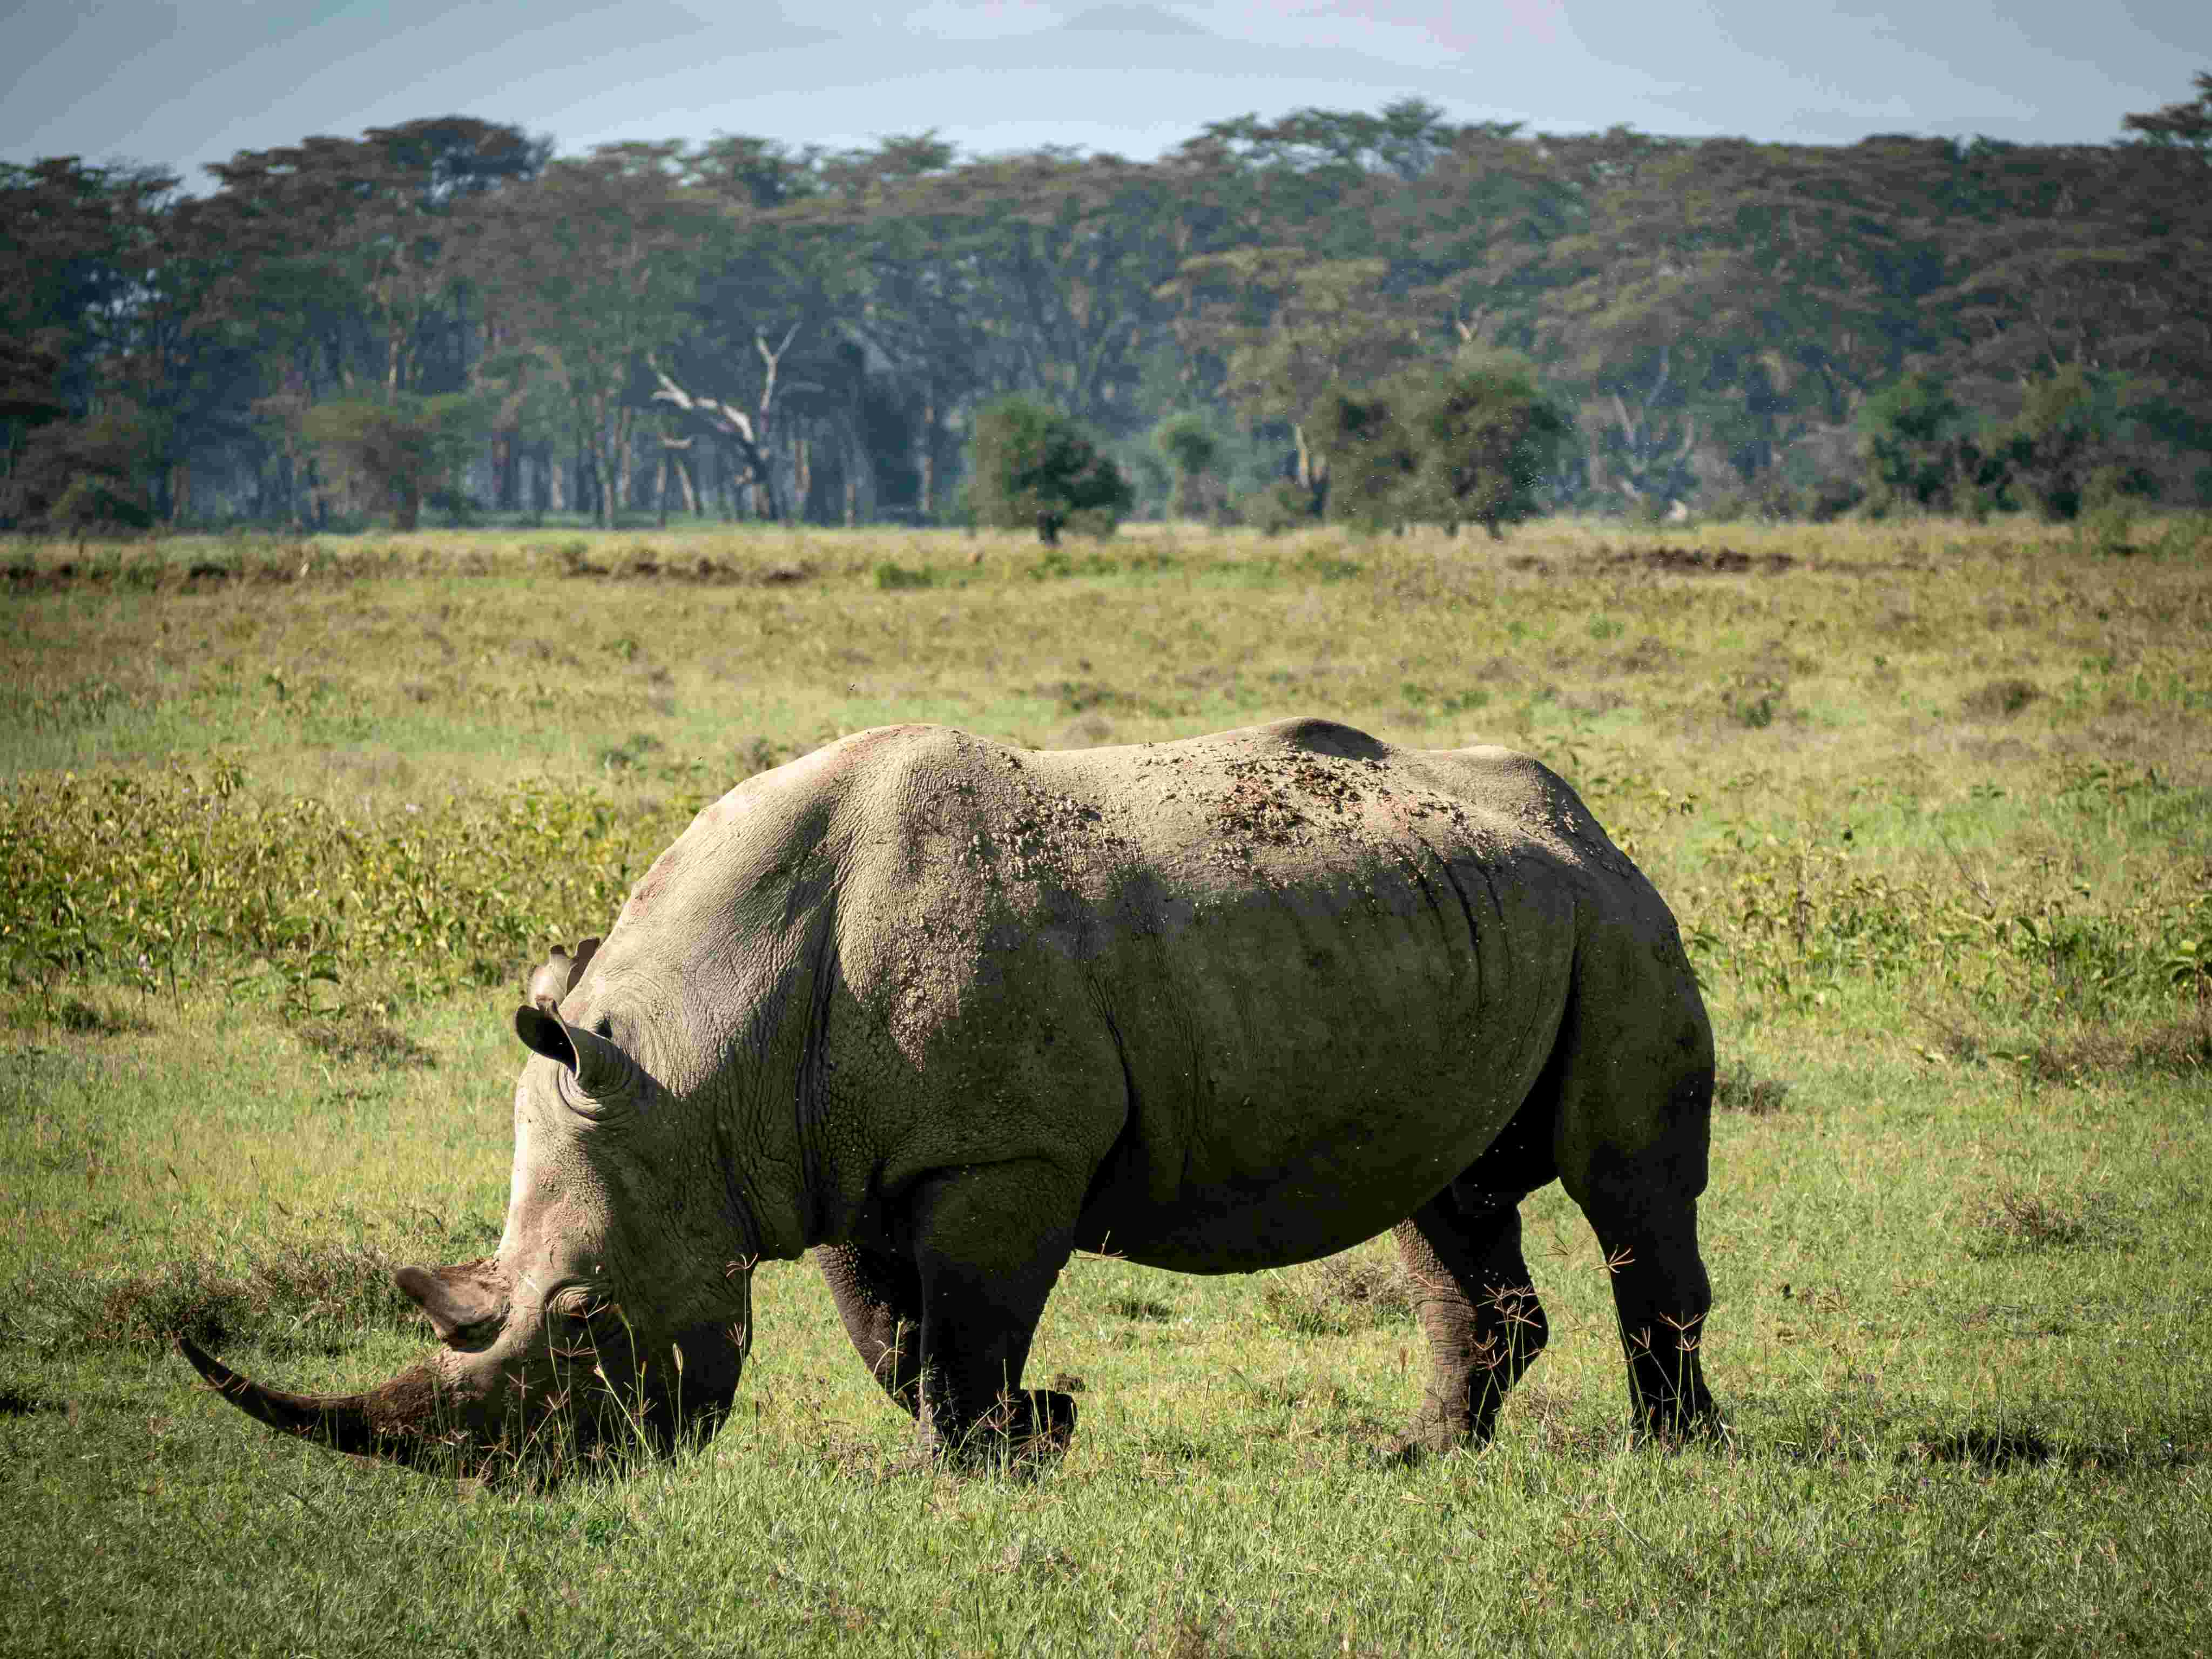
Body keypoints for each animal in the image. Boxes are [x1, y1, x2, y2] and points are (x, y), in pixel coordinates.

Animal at [182, 718, 1718, 1472]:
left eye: (582, 1320)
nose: (536, 1478)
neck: (691, 1064)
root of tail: (1589, 818)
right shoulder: (824, 1158)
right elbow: (892, 1334)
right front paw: (1027, 1436)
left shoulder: (1003, 1157)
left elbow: (965, 1324)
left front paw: (985, 1457)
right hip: (1471, 921)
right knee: (1446, 1198)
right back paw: (1422, 1459)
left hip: (1615, 922)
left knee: (1623, 1183)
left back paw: (1673, 1460)